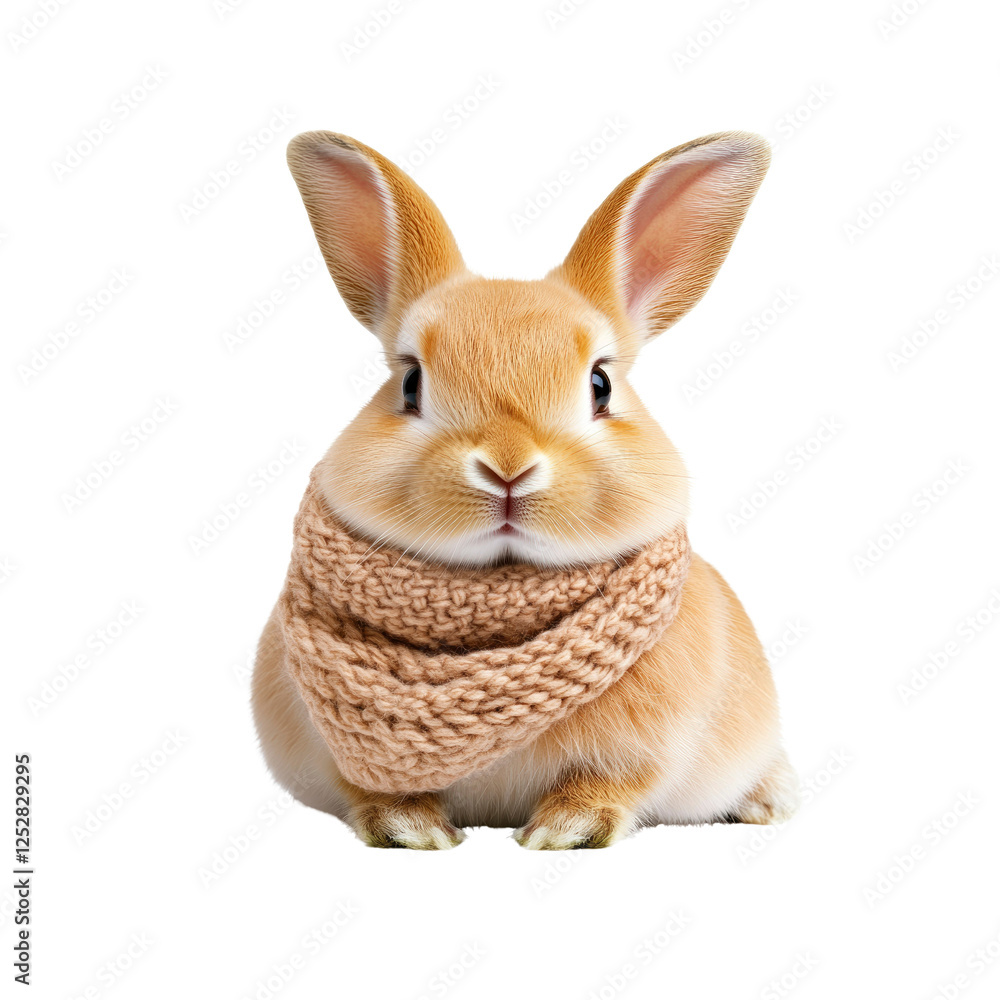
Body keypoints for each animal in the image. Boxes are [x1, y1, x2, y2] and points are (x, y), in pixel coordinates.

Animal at [251, 129, 798, 849]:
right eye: (410, 383)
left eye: (600, 384)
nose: (507, 467)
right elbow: (370, 788)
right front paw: (413, 831)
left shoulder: (644, 749)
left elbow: (608, 783)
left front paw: (563, 832)